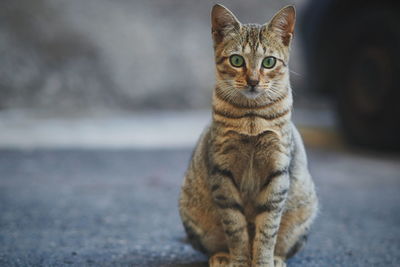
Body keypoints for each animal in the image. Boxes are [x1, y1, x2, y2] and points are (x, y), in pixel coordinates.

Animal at [179, 4, 318, 267]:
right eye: (236, 60)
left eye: (269, 62)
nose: (253, 80)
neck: (252, 118)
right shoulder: (222, 171)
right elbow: (236, 228)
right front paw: (240, 260)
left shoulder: (277, 170)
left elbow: (267, 230)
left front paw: (263, 260)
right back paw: (222, 257)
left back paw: (276, 258)